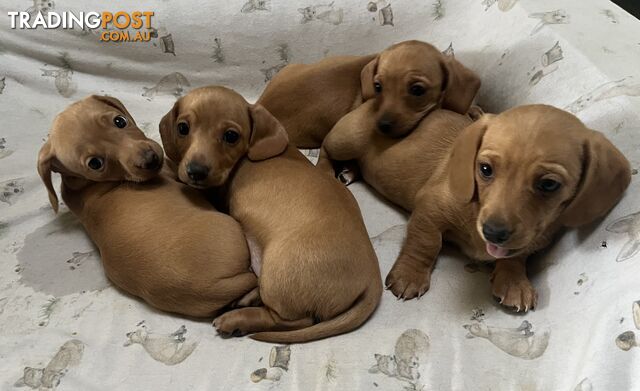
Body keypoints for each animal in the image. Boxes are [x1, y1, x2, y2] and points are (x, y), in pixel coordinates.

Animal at [37, 95, 258, 318]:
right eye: (95, 164)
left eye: (120, 121)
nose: (150, 160)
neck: (86, 184)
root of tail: (209, 288)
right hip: (227, 224)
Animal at [160, 86, 382, 344]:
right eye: (182, 128)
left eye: (231, 136)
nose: (195, 172)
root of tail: (373, 279)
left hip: (278, 272)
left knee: (294, 320)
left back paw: (237, 320)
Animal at [322, 103, 632, 312]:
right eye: (485, 169)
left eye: (549, 184)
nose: (493, 232)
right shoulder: (429, 209)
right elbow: (426, 243)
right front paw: (409, 276)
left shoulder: (530, 241)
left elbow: (517, 256)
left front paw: (514, 282)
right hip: (345, 139)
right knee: (326, 148)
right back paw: (328, 173)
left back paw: (349, 171)